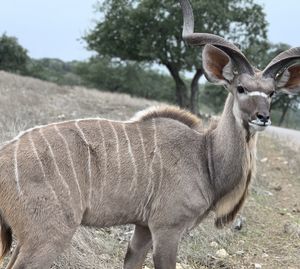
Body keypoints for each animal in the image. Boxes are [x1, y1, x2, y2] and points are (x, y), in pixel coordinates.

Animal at [0, 0, 298, 268]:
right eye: (241, 88)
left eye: (272, 93)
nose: (262, 117)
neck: (205, 157)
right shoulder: (167, 227)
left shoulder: (143, 228)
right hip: (48, 236)